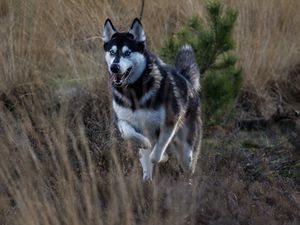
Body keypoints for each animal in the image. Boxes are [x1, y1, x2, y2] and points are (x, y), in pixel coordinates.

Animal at [102, 18, 202, 182]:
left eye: (127, 52)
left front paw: (162, 157)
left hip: (186, 151)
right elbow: (130, 134)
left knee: (187, 165)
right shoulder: (122, 120)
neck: (134, 91)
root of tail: (186, 80)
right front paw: (144, 143)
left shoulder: (169, 122)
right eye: (112, 52)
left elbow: (157, 152)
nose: (114, 67)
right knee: (146, 161)